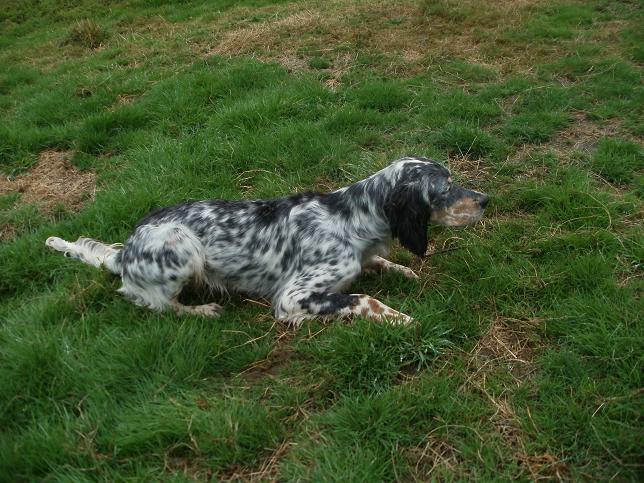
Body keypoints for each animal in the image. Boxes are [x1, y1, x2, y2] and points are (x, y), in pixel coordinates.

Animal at [45, 158, 488, 326]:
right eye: (445, 189)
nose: (486, 200)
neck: (351, 217)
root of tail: (126, 254)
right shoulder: (293, 297)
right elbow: (363, 298)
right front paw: (401, 318)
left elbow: (379, 264)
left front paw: (402, 270)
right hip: (181, 244)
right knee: (151, 301)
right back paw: (201, 309)